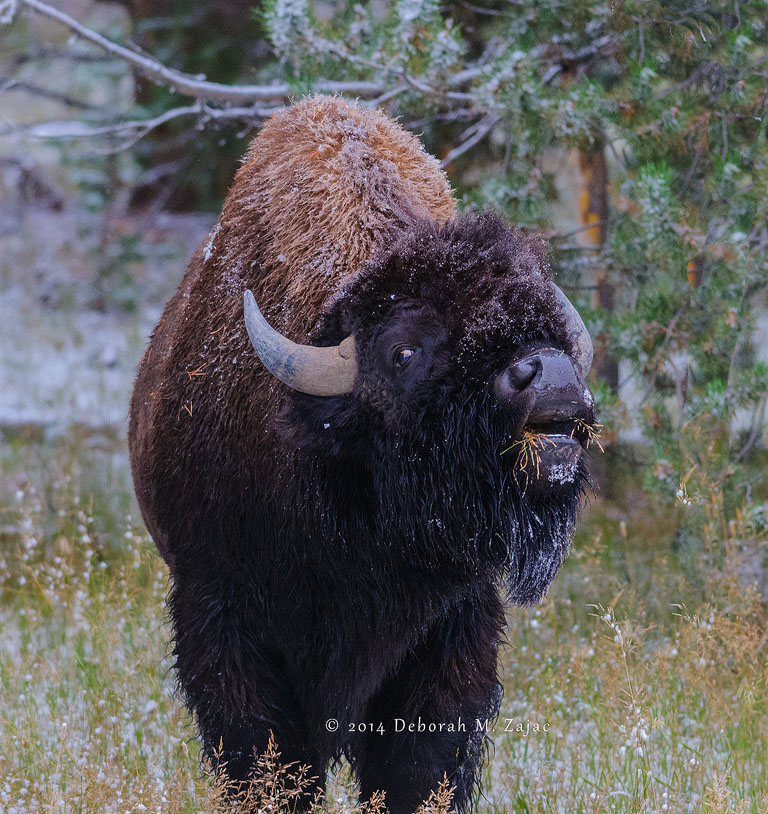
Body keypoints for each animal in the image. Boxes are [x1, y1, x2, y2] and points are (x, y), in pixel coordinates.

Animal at [129, 95, 595, 813]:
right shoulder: (223, 614)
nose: (548, 372)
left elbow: (419, 763)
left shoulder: (452, 630)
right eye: (403, 352)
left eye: (550, 323)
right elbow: (265, 755)